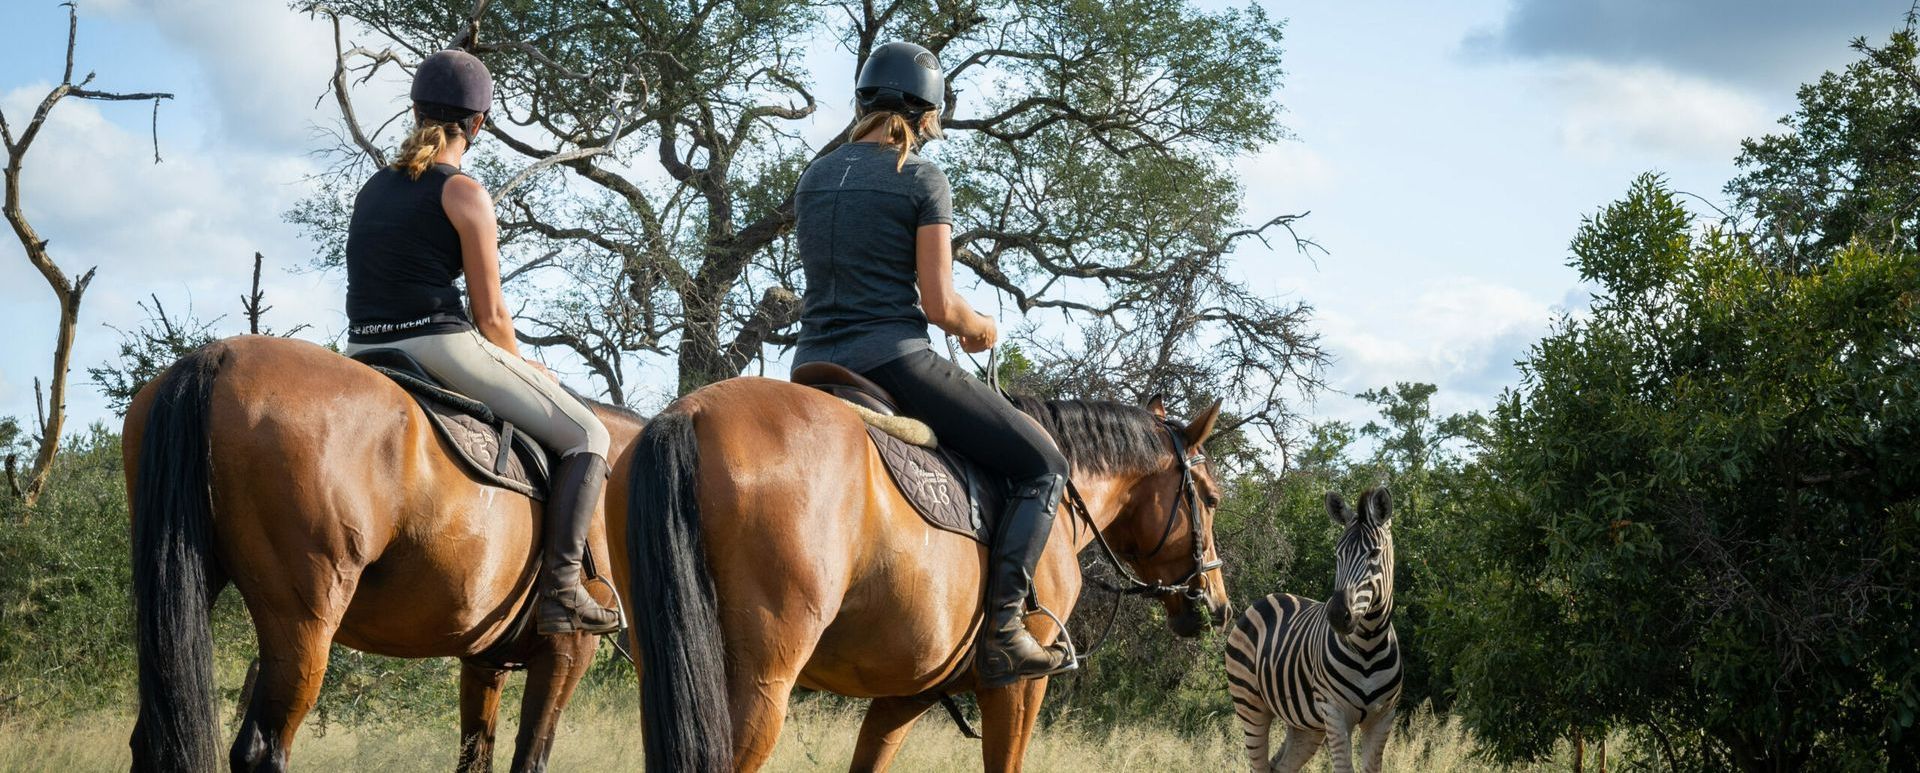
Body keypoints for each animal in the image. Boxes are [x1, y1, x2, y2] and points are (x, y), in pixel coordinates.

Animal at [125, 337, 645, 773]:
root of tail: (220, 355)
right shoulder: (567, 653)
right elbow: (530, 760)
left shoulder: (483, 662)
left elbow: (475, 759)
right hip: (304, 623)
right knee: (262, 749)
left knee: (152, 741)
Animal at [622, 377, 1236, 771]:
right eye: (1209, 498)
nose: (1217, 604)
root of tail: (691, 413)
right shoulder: (1019, 688)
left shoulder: (904, 696)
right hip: (758, 688)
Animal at [1221, 491, 1405, 773]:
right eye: (1338, 553)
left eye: (1374, 553)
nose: (1337, 615)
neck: (1368, 646)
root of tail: (1269, 597)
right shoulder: (1334, 712)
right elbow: (1344, 768)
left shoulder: (1383, 716)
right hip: (1250, 704)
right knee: (1259, 763)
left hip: (1304, 724)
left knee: (1280, 766)